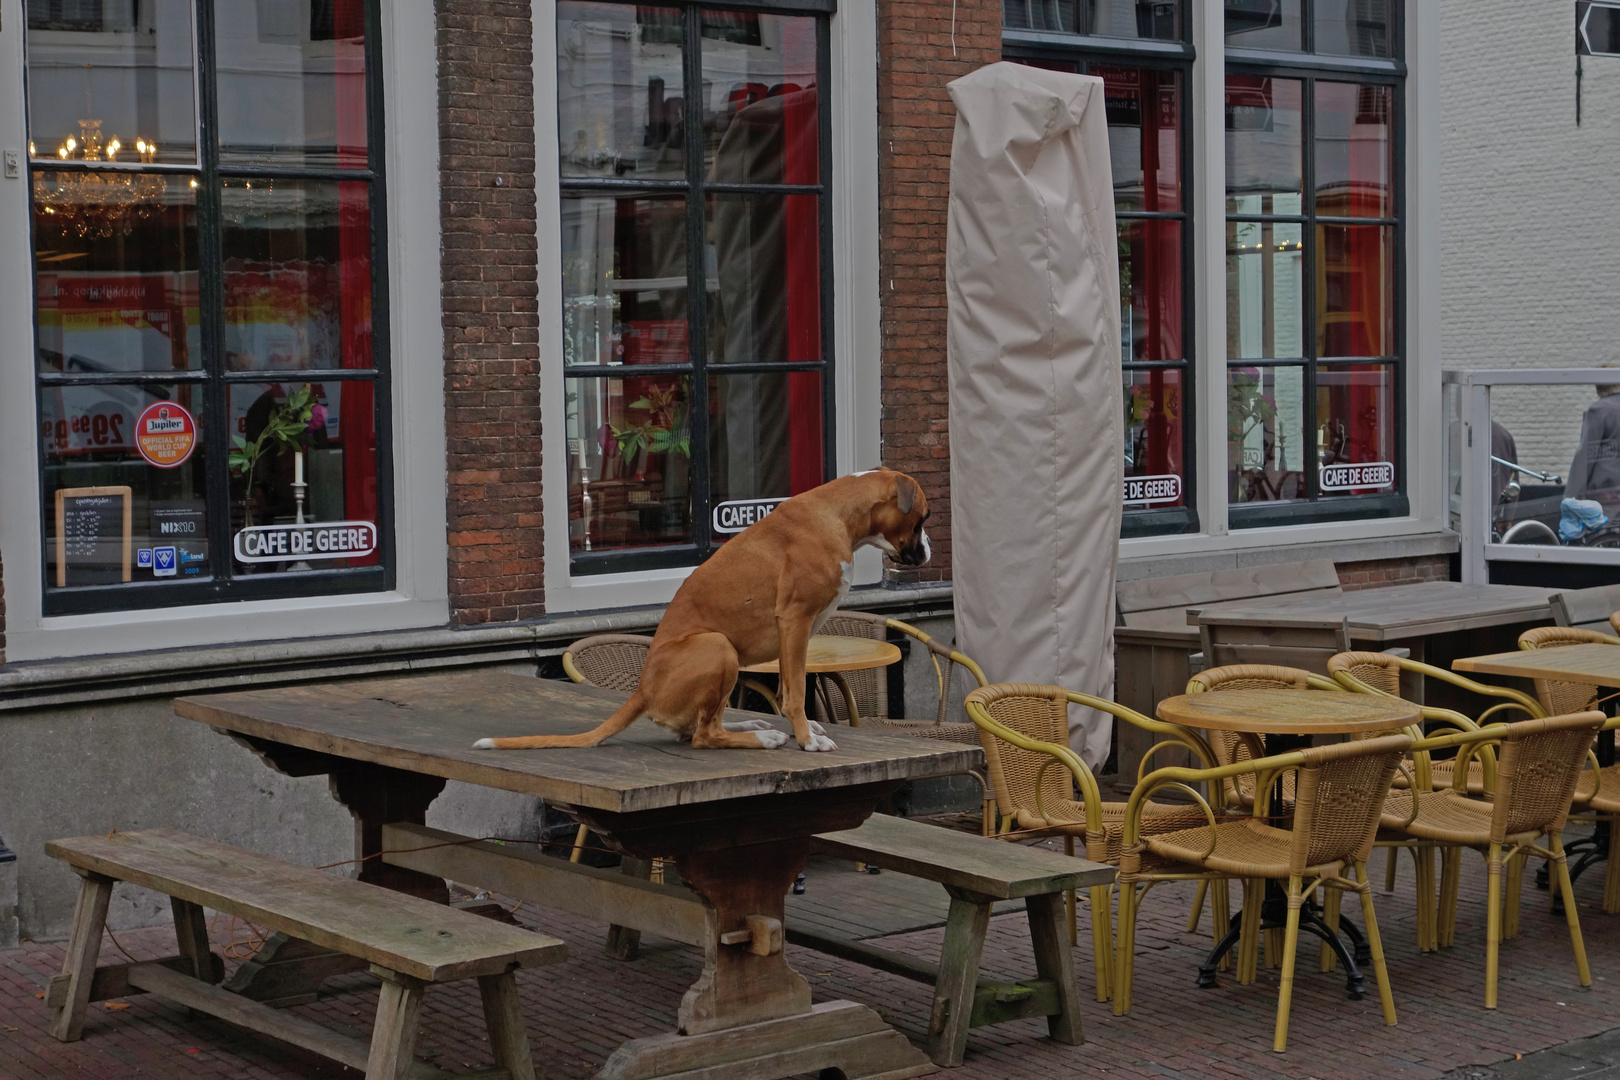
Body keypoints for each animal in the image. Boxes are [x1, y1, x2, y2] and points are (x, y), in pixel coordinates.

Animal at [469, 469, 933, 757]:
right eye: (924, 517)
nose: (928, 551)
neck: (839, 513)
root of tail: (643, 690)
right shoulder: (796, 622)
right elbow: (797, 692)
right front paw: (806, 739)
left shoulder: (794, 635)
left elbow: (788, 688)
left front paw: (803, 729)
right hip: (718, 646)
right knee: (704, 737)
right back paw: (764, 739)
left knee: (703, 726)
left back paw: (754, 727)